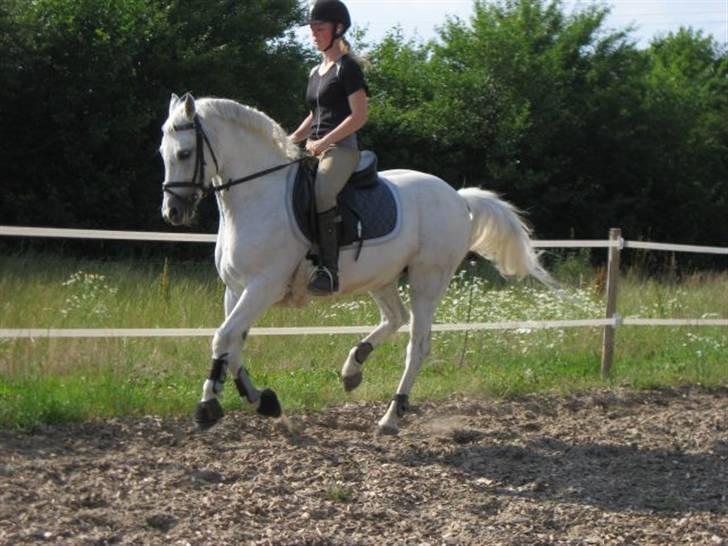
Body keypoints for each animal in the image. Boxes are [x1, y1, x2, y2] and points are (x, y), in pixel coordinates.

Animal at [158, 93, 544, 434]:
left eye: (184, 153)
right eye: (163, 153)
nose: (172, 212)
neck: (256, 195)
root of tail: (457, 197)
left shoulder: (262, 285)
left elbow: (223, 338)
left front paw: (208, 407)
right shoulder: (236, 288)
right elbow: (233, 344)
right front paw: (265, 402)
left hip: (427, 280)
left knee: (417, 345)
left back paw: (391, 417)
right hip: (382, 278)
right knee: (395, 318)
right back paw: (353, 367)